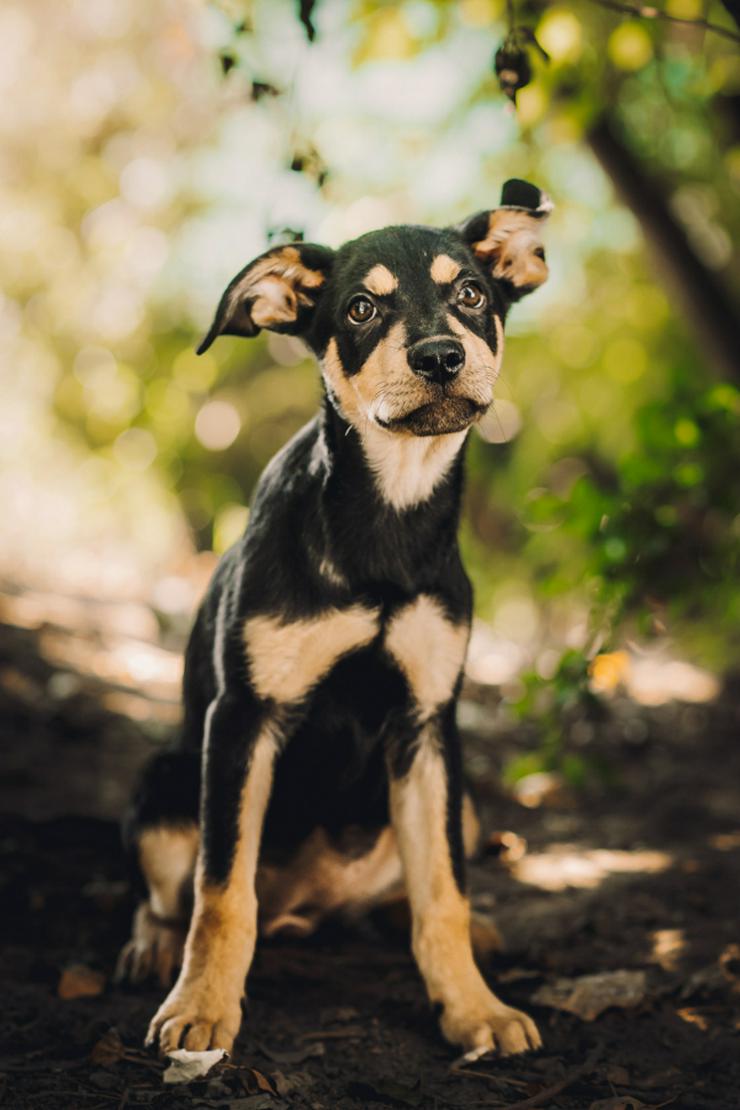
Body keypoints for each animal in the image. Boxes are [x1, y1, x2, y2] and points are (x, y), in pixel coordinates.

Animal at [117, 177, 550, 1061]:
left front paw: (474, 1009)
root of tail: (310, 902)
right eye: (359, 309)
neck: (385, 526)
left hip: (459, 796)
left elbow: (444, 892)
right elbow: (221, 891)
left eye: (470, 295)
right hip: (168, 777)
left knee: (415, 889)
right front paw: (202, 1009)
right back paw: (150, 950)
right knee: (172, 896)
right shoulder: (242, 719)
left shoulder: (427, 724)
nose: (440, 357)